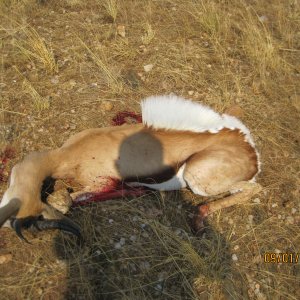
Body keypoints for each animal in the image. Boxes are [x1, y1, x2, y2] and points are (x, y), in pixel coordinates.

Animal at [0, 96, 260, 241]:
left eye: (28, 221)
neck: (68, 155)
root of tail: (249, 150)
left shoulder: (99, 183)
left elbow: (65, 200)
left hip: (195, 178)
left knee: (256, 190)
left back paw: (198, 218)